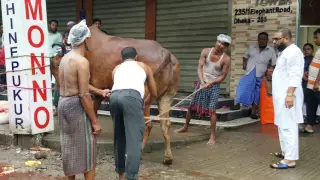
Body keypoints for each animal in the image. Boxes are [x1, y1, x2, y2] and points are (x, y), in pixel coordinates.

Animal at [50, 26, 180, 165]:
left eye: (57, 64)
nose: (60, 88)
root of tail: (165, 53)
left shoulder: (98, 89)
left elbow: (94, 111)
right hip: (166, 97)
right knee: (165, 124)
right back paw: (168, 157)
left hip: (145, 99)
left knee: (147, 124)